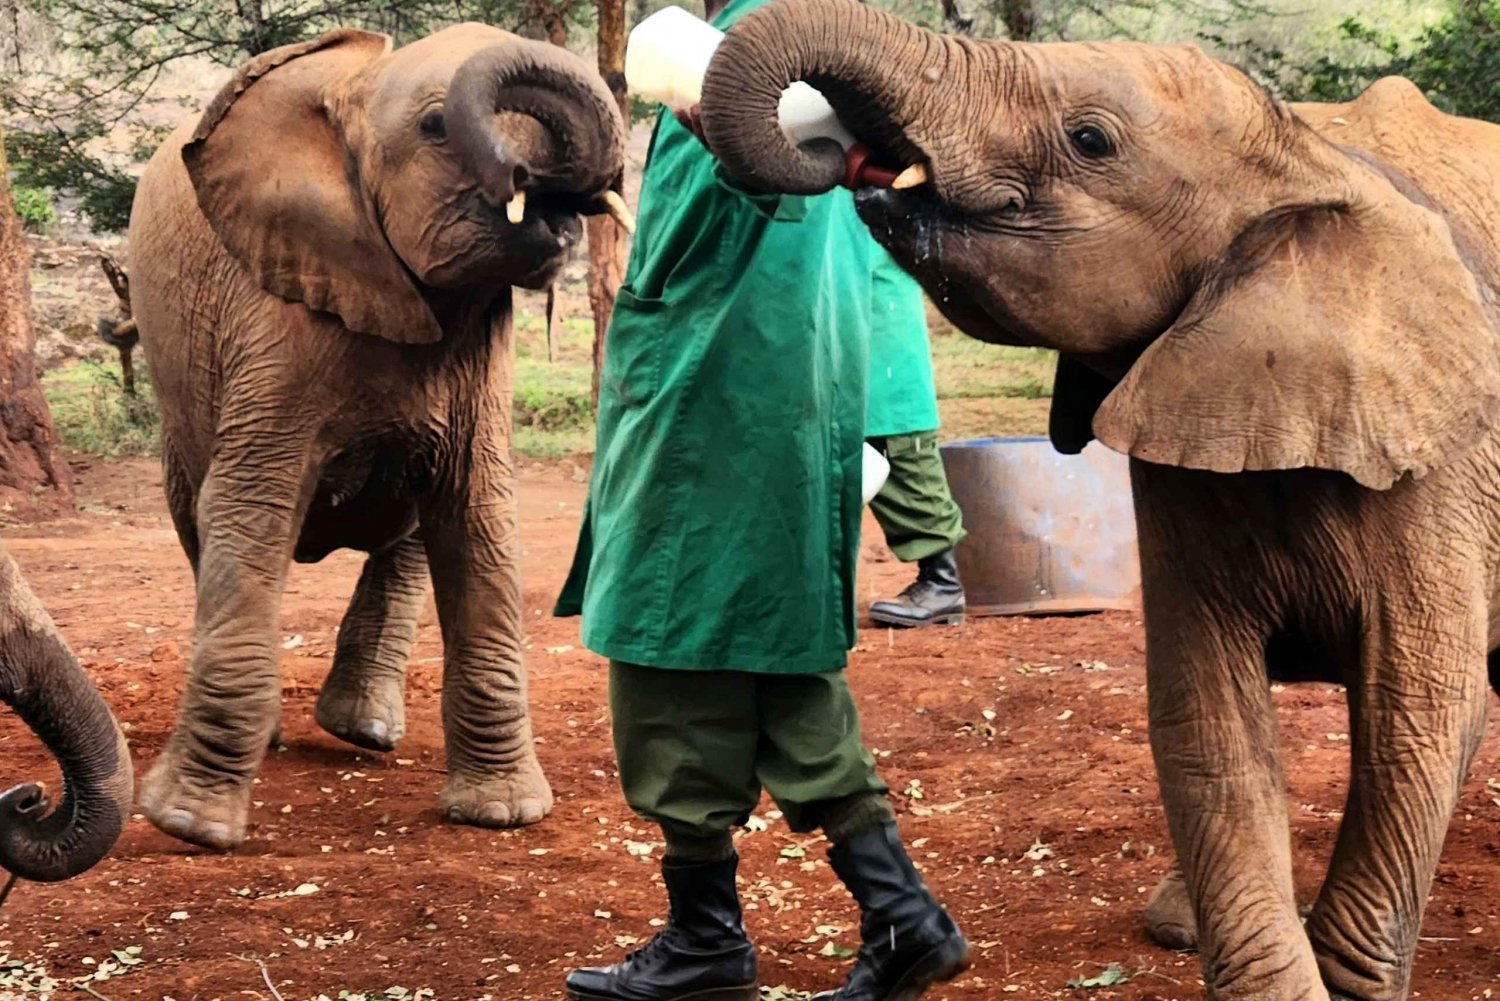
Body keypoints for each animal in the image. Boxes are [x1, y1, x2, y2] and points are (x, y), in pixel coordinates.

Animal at [126, 23, 624, 852]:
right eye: (435, 126)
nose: (532, 179)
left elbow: (478, 519)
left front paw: (501, 815)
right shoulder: (274, 312)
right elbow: (248, 509)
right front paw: (191, 826)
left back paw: (363, 730)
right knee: (197, 518)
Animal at [699, 3, 1500, 996]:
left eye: (1090, 140)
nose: (832, 154)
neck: (1305, 158)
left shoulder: (1442, 462)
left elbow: (1416, 721)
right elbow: (1207, 716)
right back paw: (1176, 918)